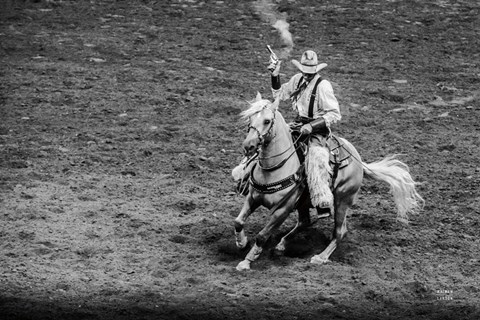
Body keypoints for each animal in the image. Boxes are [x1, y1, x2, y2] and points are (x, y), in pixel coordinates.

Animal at [232, 94, 424, 272]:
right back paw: (282, 244)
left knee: (339, 231)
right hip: (304, 202)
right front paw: (241, 243)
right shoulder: (253, 198)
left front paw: (246, 261)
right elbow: (238, 221)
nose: (248, 146)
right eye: (250, 118)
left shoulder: (282, 210)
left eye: (267, 121)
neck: (274, 168)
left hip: (342, 200)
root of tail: (359, 161)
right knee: (304, 222)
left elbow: (262, 236)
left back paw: (321, 257)